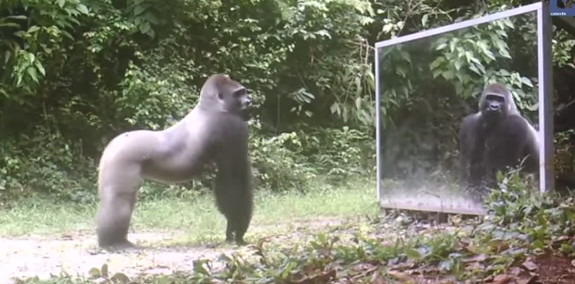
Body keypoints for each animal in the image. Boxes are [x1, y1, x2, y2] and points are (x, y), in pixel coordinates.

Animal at [95, 74, 253, 248]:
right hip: (121, 159)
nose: (249, 102)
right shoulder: (233, 125)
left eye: (244, 92)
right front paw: (237, 230)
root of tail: (111, 145)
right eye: (238, 94)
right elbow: (233, 180)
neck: (211, 106)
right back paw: (114, 242)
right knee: (120, 198)